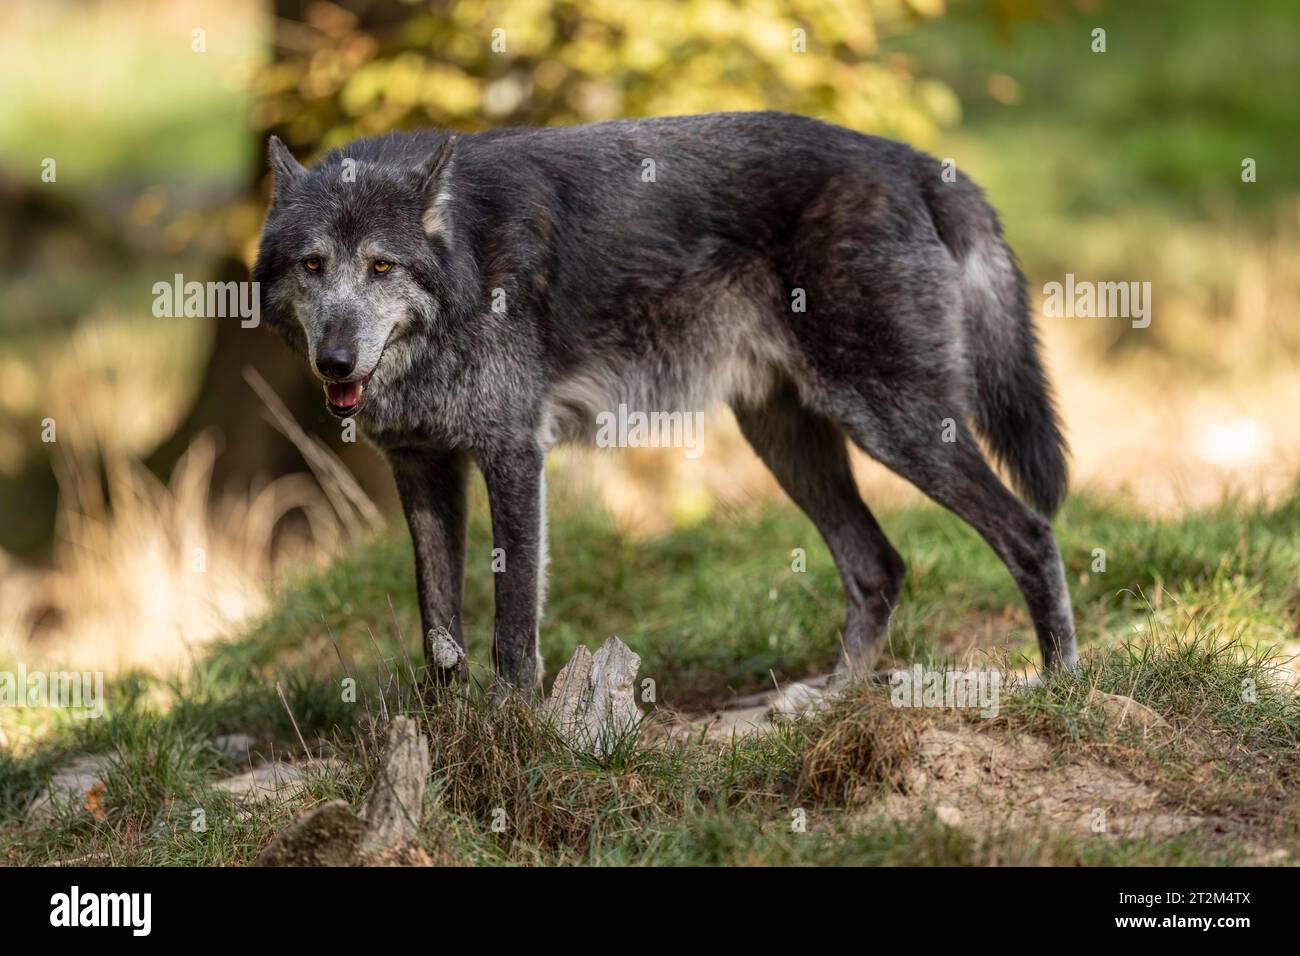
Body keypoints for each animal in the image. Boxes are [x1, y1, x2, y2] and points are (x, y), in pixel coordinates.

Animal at [253, 111, 1077, 695]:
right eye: (314, 265)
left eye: (381, 266)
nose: (335, 362)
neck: (464, 261)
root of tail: (916, 163)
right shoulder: (423, 468)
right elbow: (438, 631)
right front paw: (449, 730)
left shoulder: (514, 454)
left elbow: (512, 632)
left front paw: (510, 739)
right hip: (788, 440)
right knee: (880, 565)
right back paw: (824, 707)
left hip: (895, 426)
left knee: (1030, 533)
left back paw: (1060, 683)